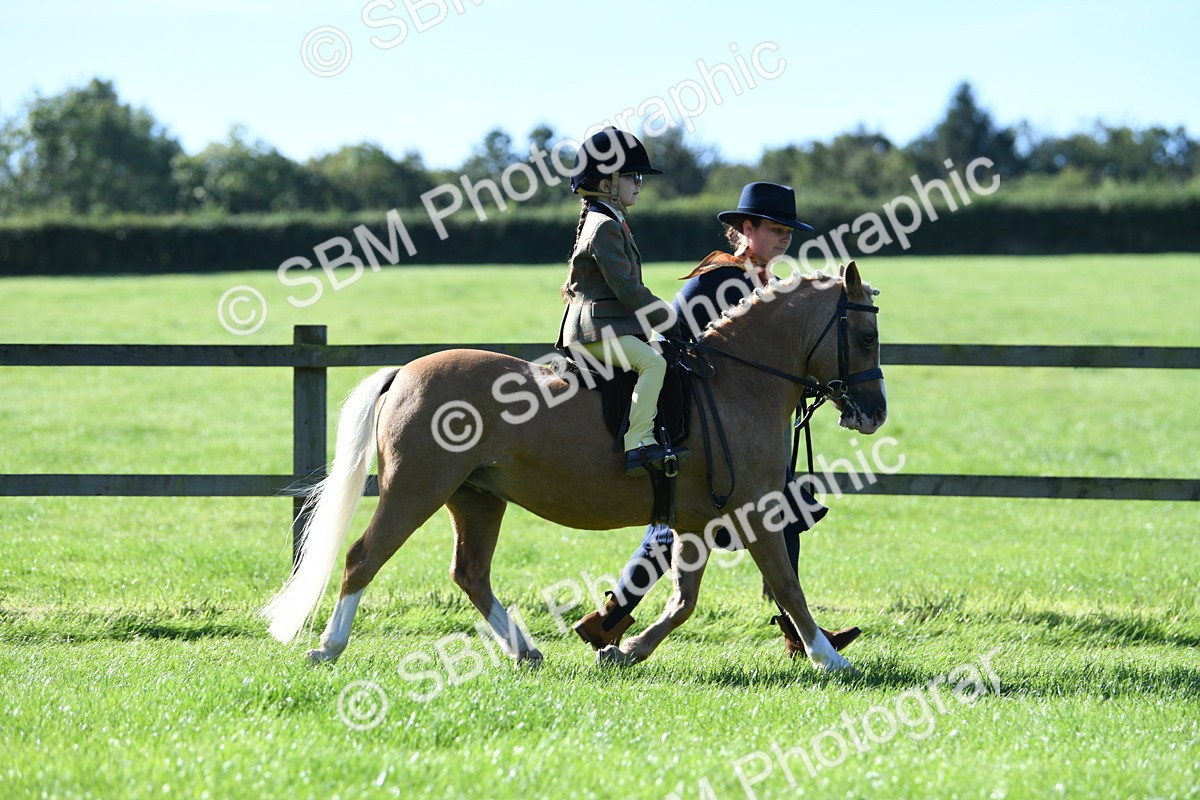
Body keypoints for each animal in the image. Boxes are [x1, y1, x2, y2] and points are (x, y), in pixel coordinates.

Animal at [261, 261, 887, 672]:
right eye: (865, 335)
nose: (875, 412)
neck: (735, 382)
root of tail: (407, 373)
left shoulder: (697, 522)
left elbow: (683, 601)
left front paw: (625, 649)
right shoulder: (755, 513)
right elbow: (787, 587)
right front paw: (830, 659)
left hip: (476, 497)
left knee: (471, 573)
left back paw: (525, 650)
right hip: (416, 490)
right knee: (363, 559)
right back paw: (328, 647)